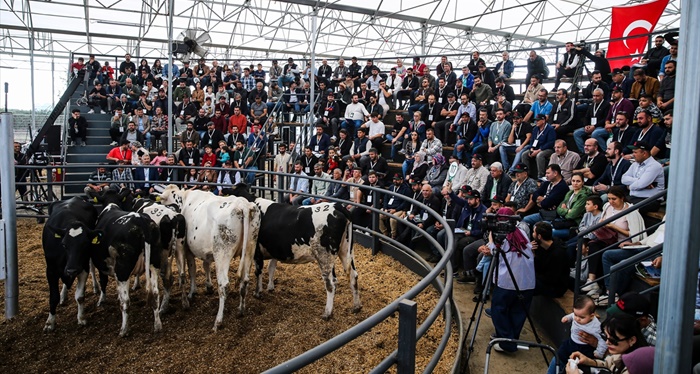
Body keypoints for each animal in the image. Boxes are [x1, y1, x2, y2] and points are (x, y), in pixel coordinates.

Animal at [41, 197, 100, 332]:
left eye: (85, 245)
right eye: (64, 244)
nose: (72, 270)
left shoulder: (82, 268)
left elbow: (80, 296)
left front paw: (81, 318)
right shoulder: (51, 271)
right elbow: (53, 297)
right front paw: (49, 322)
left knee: (92, 268)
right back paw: (63, 295)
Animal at [92, 203, 162, 338]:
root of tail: (140, 220)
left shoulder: (105, 266)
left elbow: (104, 282)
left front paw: (101, 300)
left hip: (123, 269)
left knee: (126, 302)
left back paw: (124, 330)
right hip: (154, 263)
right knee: (155, 294)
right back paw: (157, 325)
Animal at [154, 184, 262, 330]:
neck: (183, 199)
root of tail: (242, 204)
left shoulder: (187, 249)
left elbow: (192, 269)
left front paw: (192, 292)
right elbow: (206, 265)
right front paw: (208, 286)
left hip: (222, 253)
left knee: (224, 284)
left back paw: (218, 321)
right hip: (251, 247)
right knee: (244, 279)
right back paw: (241, 310)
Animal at [230, 183, 360, 320]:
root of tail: (337, 206)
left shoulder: (257, 251)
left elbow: (258, 272)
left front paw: (258, 292)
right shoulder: (274, 249)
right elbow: (271, 267)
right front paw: (270, 287)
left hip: (325, 256)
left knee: (330, 284)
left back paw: (327, 313)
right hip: (346, 251)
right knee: (353, 275)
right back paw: (356, 307)